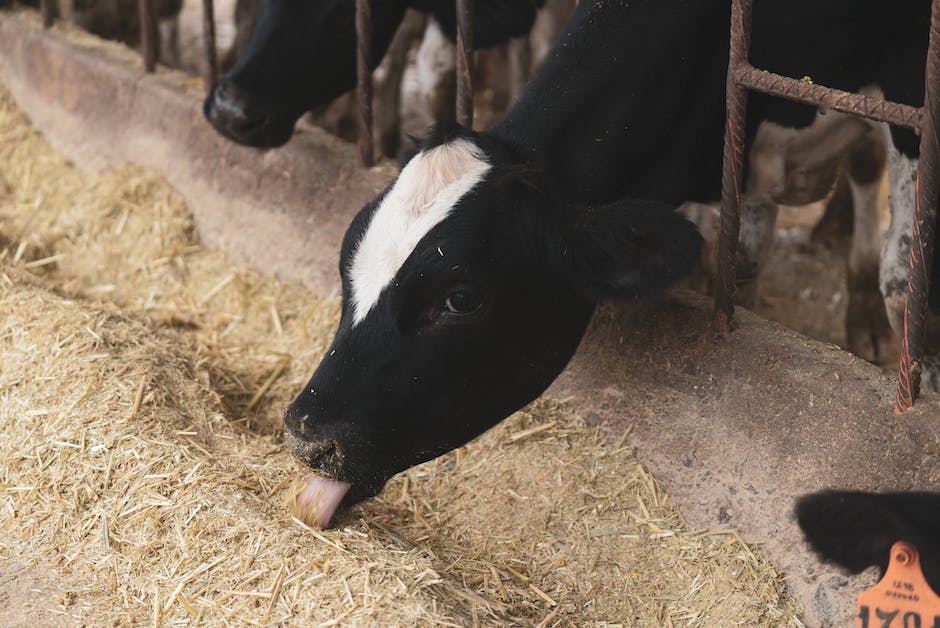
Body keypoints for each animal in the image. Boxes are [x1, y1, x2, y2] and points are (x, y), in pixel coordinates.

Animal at [284, 0, 940, 524]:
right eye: (347, 262)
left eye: (460, 299)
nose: (304, 437)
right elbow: (741, 264)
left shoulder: (909, 89)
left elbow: (900, 275)